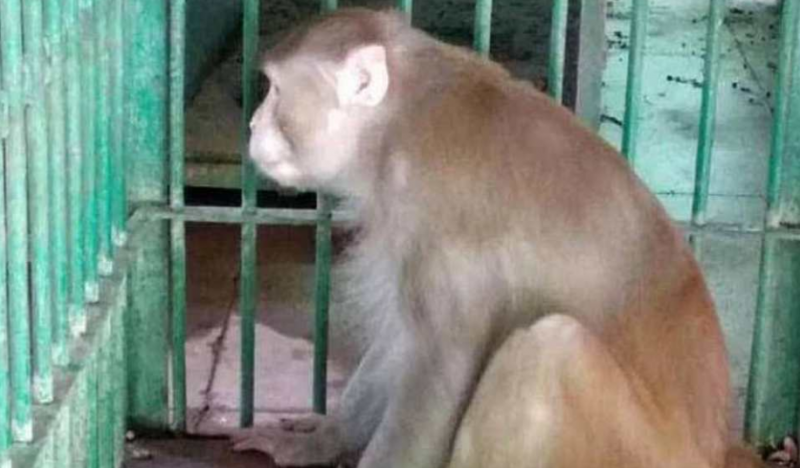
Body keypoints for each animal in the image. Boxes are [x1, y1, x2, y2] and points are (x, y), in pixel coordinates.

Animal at [231, 8, 767, 468]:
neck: (398, 118)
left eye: (275, 91)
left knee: (550, 348)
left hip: (635, 454)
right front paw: (317, 442)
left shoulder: (434, 213)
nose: (253, 123)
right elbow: (402, 340)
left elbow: (438, 364)